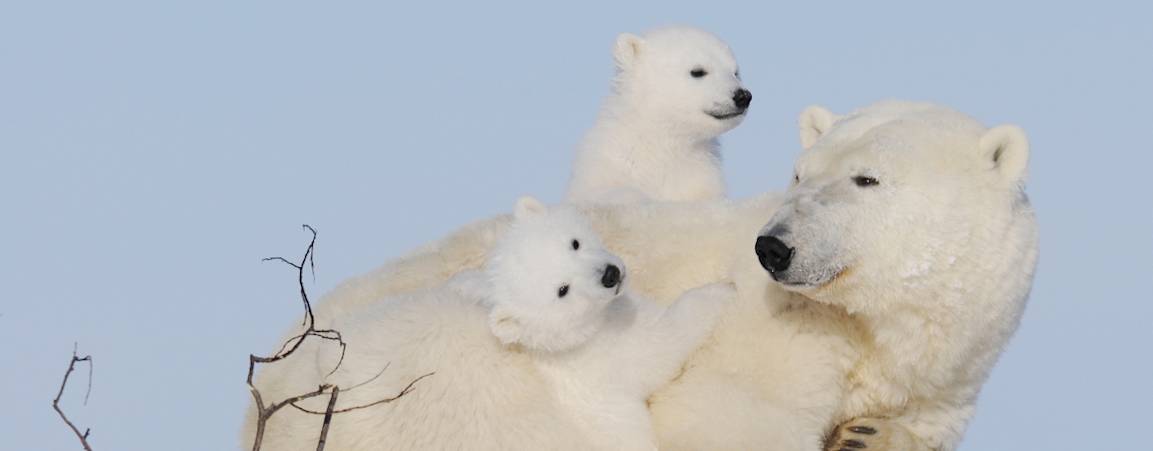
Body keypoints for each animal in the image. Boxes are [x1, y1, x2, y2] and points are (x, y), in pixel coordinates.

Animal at [244, 198, 728, 451]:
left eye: (573, 242)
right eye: (562, 290)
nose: (609, 275)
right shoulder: (600, 358)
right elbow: (658, 347)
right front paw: (719, 291)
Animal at [295, 100, 1037, 449]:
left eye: (866, 178)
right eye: (800, 173)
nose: (774, 248)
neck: (872, 333)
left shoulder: (942, 383)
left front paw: (866, 434)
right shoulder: (776, 336)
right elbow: (724, 417)